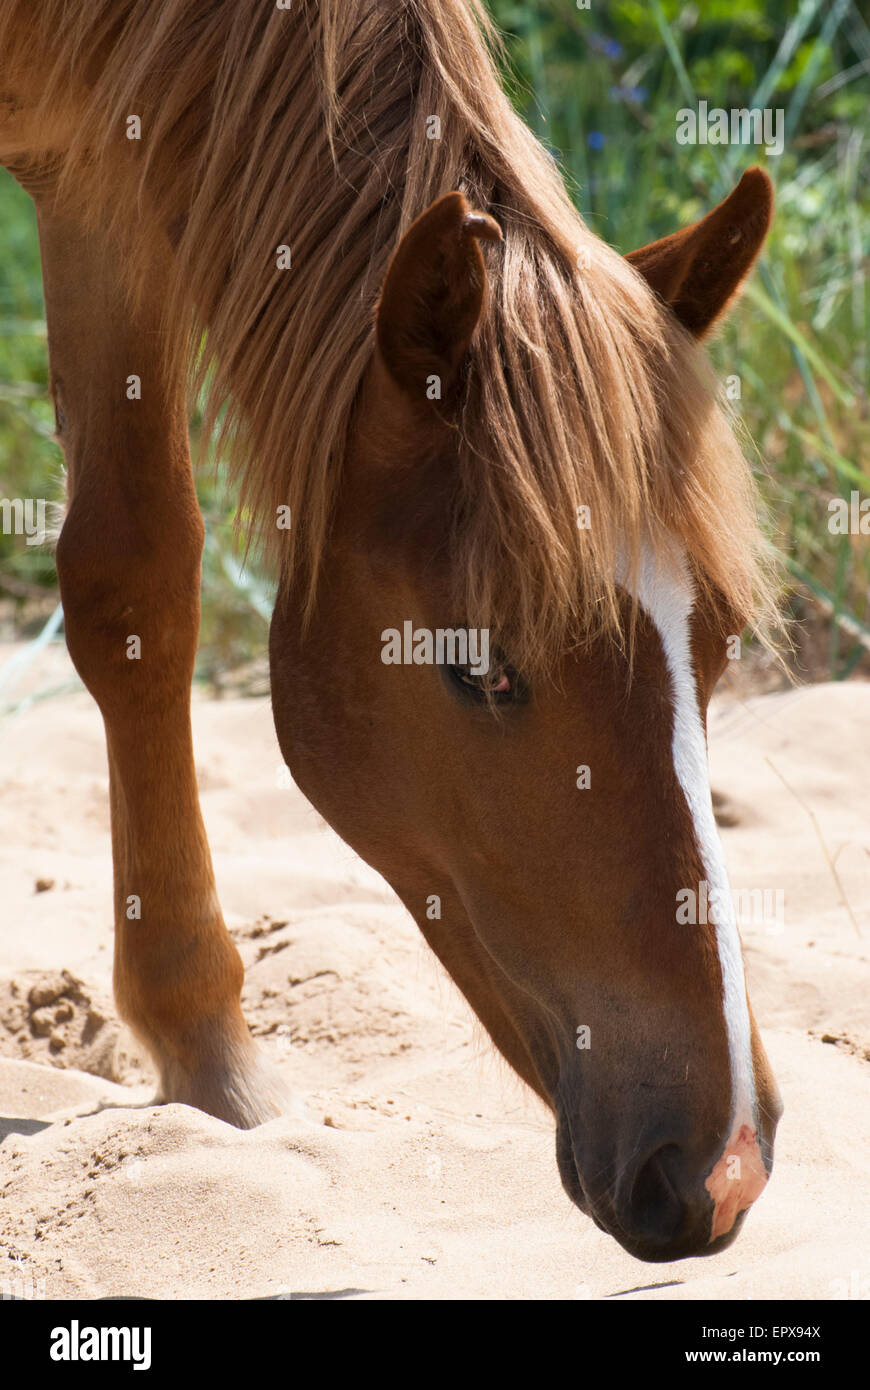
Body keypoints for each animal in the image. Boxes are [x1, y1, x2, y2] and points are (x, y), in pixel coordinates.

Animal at [0, 0, 778, 1262]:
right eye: (479, 666)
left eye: (714, 650)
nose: (723, 1171)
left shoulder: (100, 164)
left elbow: (137, 574)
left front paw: (205, 1054)